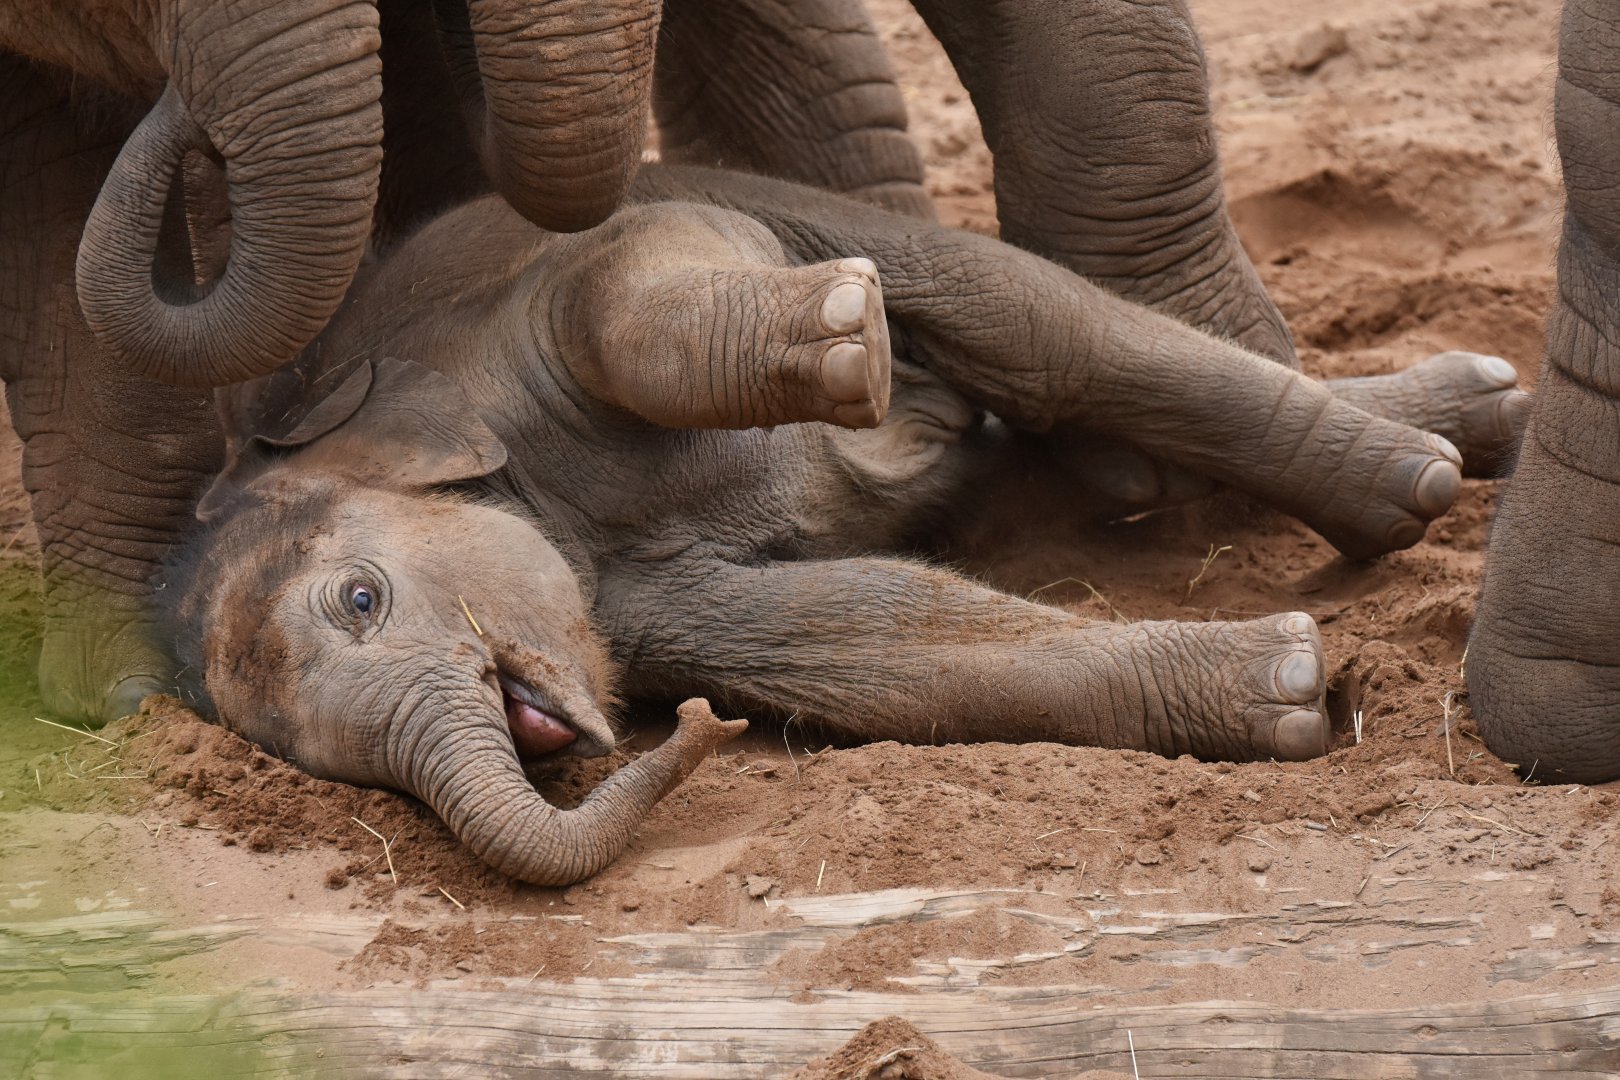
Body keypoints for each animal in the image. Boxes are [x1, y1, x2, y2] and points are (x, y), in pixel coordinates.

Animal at [158, 164, 1526, 885]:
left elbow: (623, 284)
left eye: (361, 598)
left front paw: (844, 340)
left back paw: (1442, 453)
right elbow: (861, 637)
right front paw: (1292, 686)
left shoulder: (529, 302)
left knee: (1028, 321)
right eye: (328, 771)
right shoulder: (633, 608)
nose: (698, 732)